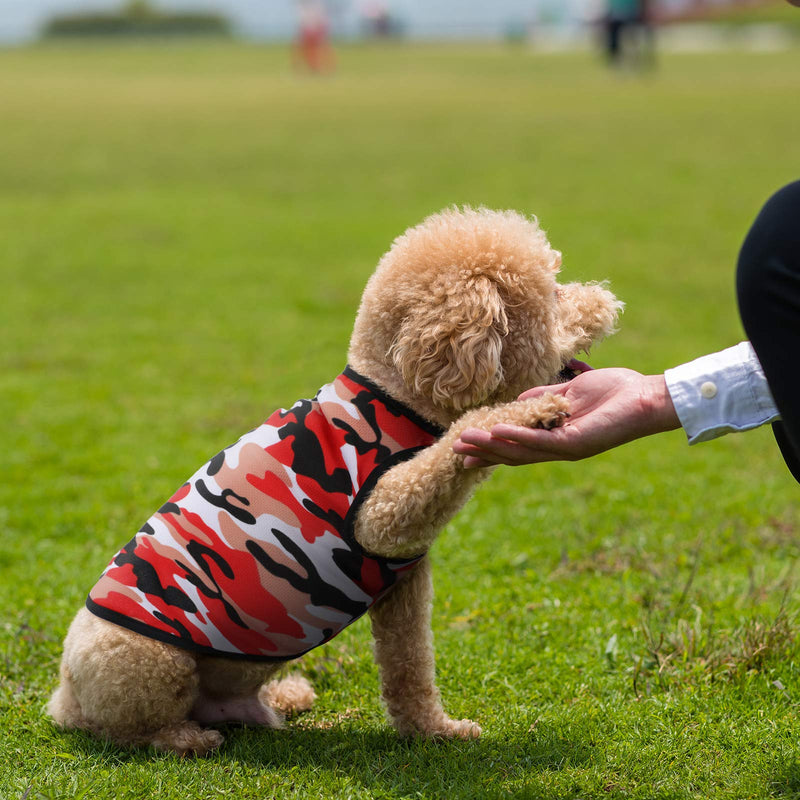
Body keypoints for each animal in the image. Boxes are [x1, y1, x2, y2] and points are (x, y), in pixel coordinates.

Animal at [50, 206, 620, 756]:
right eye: (553, 296)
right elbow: (449, 449)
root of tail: (63, 699)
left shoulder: (403, 580)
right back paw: (184, 739)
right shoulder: (382, 515)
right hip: (145, 661)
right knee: (127, 730)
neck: (394, 395)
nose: (609, 301)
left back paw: (285, 697)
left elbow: (410, 667)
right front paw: (529, 413)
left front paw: (434, 731)